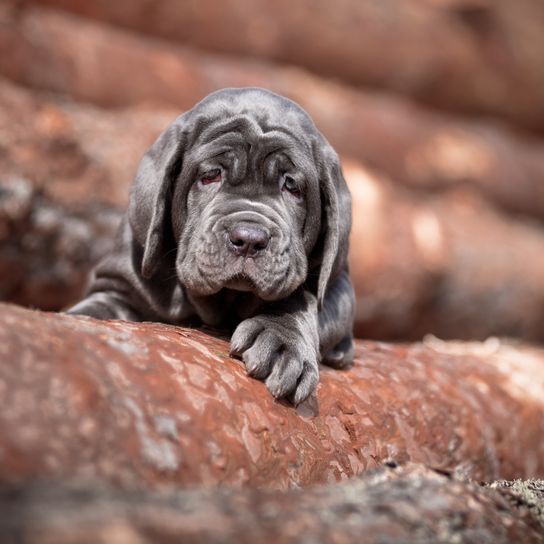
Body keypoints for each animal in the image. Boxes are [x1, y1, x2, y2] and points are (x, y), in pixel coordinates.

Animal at [68, 88, 354, 404]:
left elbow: (304, 300)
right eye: (210, 175)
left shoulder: (338, 284)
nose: (249, 238)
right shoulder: (120, 284)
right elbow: (94, 310)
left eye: (292, 186)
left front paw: (281, 341)